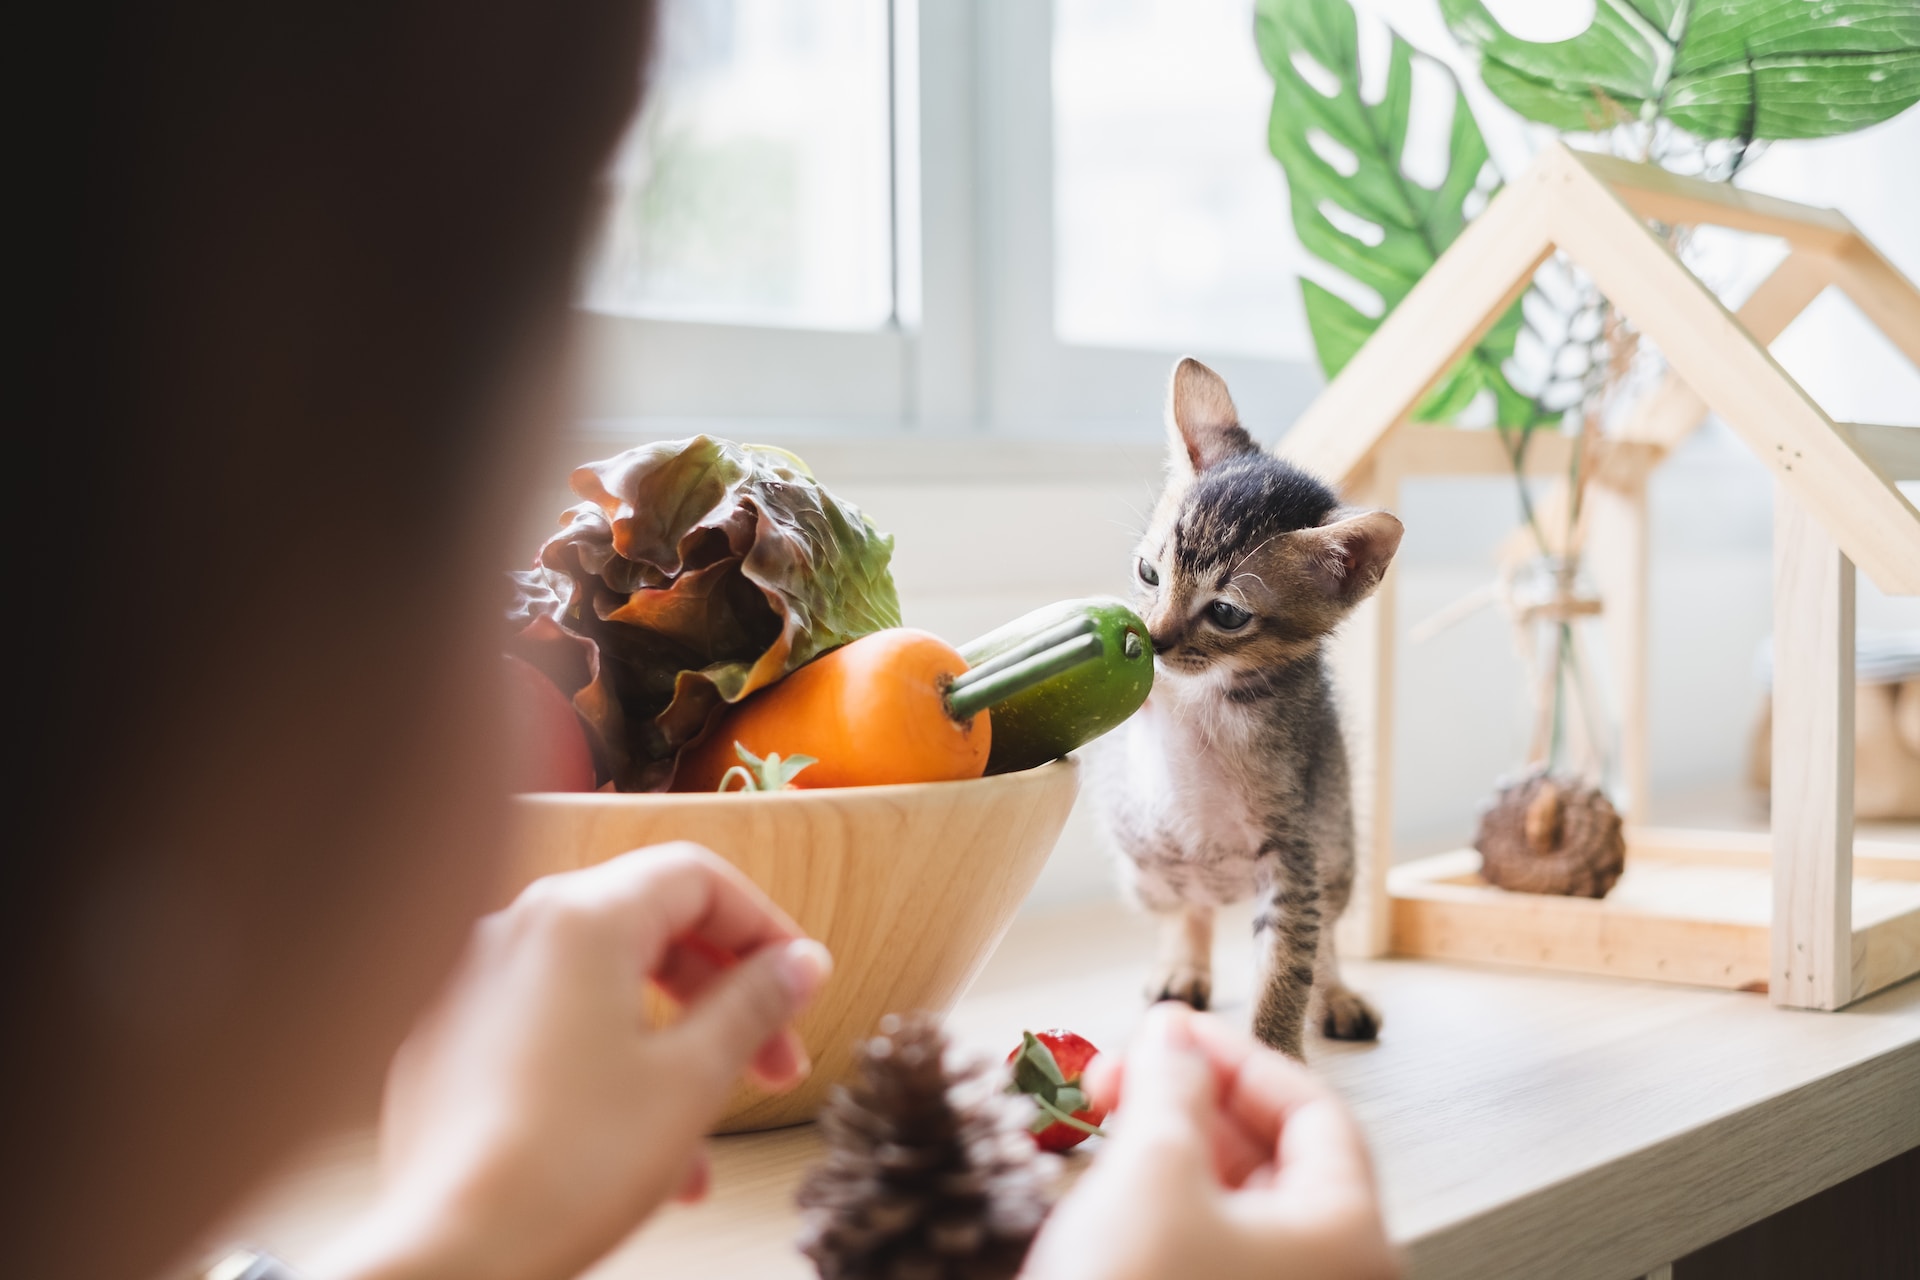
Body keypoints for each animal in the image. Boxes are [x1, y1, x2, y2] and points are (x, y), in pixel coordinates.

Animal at [1090, 358, 1405, 1059]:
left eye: (1227, 614)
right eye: (1148, 574)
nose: (1155, 639)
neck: (1204, 696)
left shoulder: (1292, 851)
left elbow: (1288, 965)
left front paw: (1275, 1056)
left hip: (1335, 849)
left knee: (1325, 934)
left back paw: (1337, 996)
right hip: (1146, 870)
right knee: (1191, 908)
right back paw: (1183, 966)